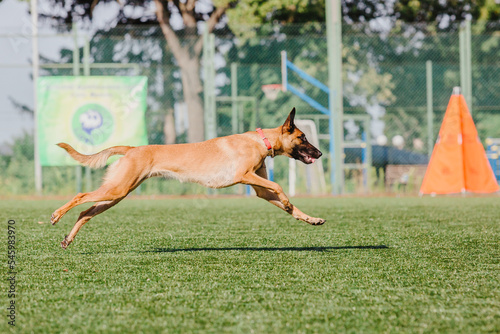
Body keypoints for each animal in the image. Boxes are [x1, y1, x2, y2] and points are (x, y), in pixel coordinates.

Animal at [49, 107, 324, 248]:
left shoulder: (259, 189)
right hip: (116, 190)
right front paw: (287, 201)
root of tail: (132, 149)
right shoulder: (244, 176)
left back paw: (68, 238)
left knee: (85, 213)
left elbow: (283, 198)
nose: (320, 153)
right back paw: (56, 215)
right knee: (80, 196)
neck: (260, 140)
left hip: (116, 194)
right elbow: (278, 185)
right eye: (303, 138)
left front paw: (309, 218)